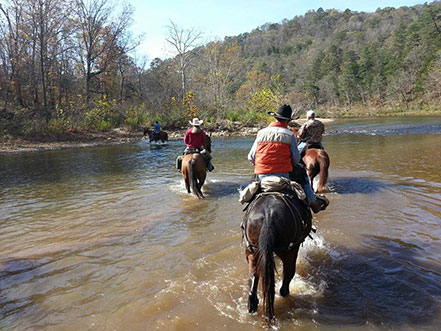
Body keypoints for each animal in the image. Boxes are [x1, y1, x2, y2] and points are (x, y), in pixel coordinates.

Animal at [242, 193, 312, 326]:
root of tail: (268, 216)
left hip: (252, 250)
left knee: (253, 277)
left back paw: (253, 307)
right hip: (289, 251)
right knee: (288, 277)